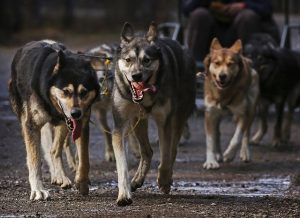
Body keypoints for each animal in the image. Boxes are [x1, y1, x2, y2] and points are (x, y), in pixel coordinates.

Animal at [8, 40, 99, 200]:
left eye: (84, 92)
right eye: (66, 91)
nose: (76, 113)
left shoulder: (82, 124)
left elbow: (84, 158)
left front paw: (82, 182)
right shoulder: (31, 125)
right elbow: (34, 159)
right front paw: (38, 190)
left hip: (63, 125)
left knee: (54, 150)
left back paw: (60, 176)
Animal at [111, 22, 196, 206]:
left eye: (147, 60)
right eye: (128, 60)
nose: (136, 75)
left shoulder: (164, 122)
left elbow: (165, 155)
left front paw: (163, 180)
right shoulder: (120, 126)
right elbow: (122, 166)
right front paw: (124, 194)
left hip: (178, 118)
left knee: (172, 150)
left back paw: (166, 177)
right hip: (138, 122)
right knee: (147, 151)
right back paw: (136, 180)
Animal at [203, 38, 258, 169]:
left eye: (230, 64)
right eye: (217, 63)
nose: (222, 76)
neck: (224, 93)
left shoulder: (243, 113)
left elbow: (237, 138)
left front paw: (229, 155)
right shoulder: (210, 114)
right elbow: (210, 139)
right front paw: (211, 161)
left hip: (251, 107)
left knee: (246, 132)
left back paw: (245, 152)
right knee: (217, 133)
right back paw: (218, 154)